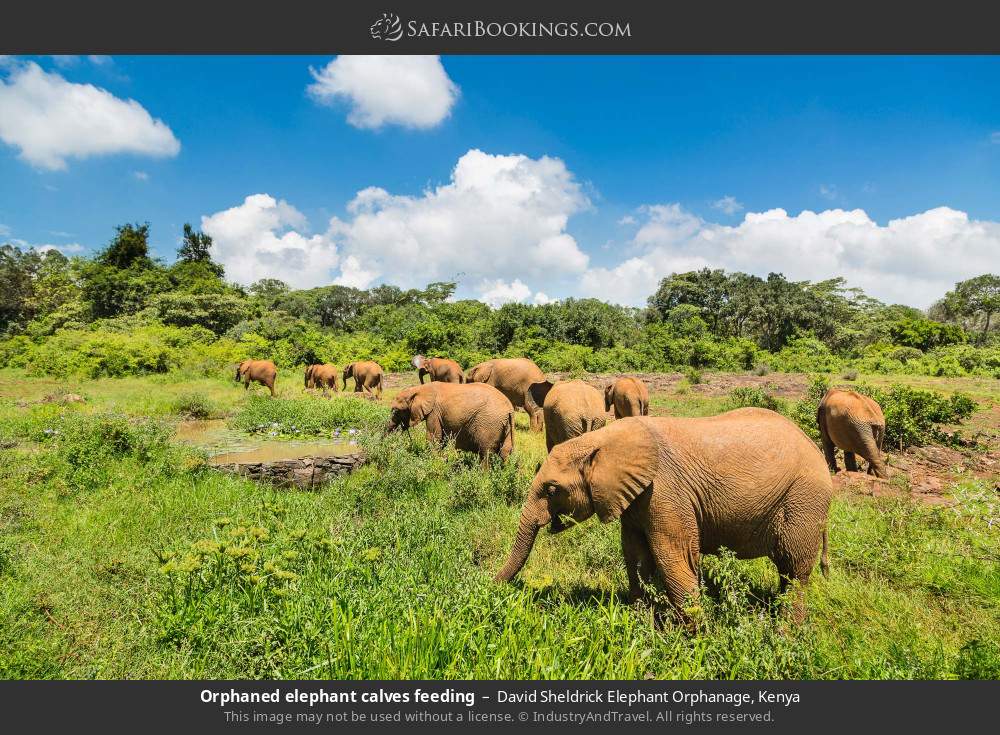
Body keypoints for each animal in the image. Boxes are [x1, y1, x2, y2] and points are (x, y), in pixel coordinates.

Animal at [384, 380, 516, 466]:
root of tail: (509, 409)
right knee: (505, 452)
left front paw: (433, 462)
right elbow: (441, 439)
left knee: (486, 452)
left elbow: (434, 437)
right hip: (505, 425)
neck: (419, 389)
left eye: (396, 411)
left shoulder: (434, 412)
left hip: (489, 424)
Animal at [496, 412, 832, 624]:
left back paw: (786, 634)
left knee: (794, 569)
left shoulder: (665, 491)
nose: (492, 586)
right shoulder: (633, 497)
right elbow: (636, 556)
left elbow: (673, 557)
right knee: (787, 571)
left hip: (803, 500)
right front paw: (643, 626)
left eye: (553, 489)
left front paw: (694, 640)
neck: (602, 439)